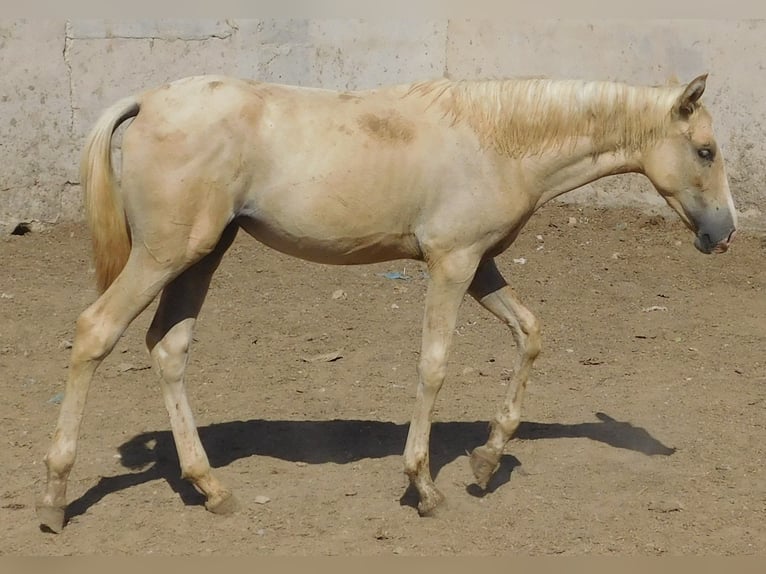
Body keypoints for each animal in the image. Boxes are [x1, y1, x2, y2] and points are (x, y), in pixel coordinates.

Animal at [36, 73, 736, 536]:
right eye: (705, 150)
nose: (724, 233)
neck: (498, 141)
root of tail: (150, 100)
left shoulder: (481, 265)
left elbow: (530, 334)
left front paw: (487, 461)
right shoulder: (452, 263)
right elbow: (434, 366)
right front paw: (423, 486)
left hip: (201, 255)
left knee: (168, 348)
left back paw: (211, 489)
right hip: (165, 256)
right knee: (94, 331)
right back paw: (55, 499)